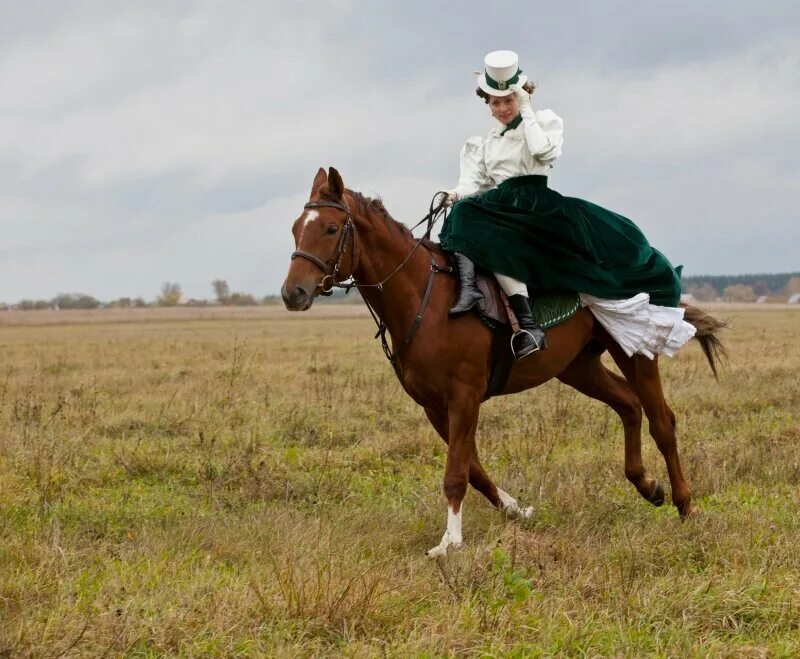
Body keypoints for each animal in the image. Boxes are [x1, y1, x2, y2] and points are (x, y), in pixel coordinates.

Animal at [280, 166, 724, 556]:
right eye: (296, 228)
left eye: (330, 229)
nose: (292, 293)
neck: (426, 298)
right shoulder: (434, 406)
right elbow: (473, 469)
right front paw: (517, 510)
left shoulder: (464, 397)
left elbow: (456, 473)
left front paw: (450, 543)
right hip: (578, 367)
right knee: (629, 405)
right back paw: (648, 486)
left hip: (635, 350)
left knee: (662, 422)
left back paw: (685, 504)